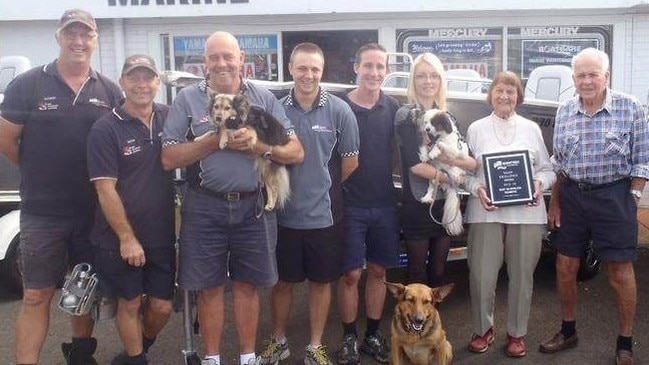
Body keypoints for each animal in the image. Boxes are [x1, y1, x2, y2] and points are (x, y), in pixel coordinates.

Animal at [412, 106, 468, 235]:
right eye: (426, 122)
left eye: (434, 123)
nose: (427, 129)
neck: (437, 135)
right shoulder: (427, 143)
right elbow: (425, 147)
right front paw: (424, 156)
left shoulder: (453, 150)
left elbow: (439, 144)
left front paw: (433, 152)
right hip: (434, 174)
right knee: (431, 186)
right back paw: (427, 197)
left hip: (452, 172)